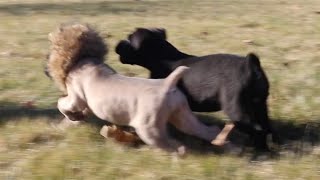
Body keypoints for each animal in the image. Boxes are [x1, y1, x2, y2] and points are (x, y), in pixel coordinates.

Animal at [115, 27, 278, 152]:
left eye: (129, 39)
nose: (117, 44)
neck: (165, 57)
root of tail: (251, 65)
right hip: (260, 105)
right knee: (265, 126)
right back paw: (267, 148)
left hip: (236, 110)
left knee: (257, 129)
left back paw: (258, 152)